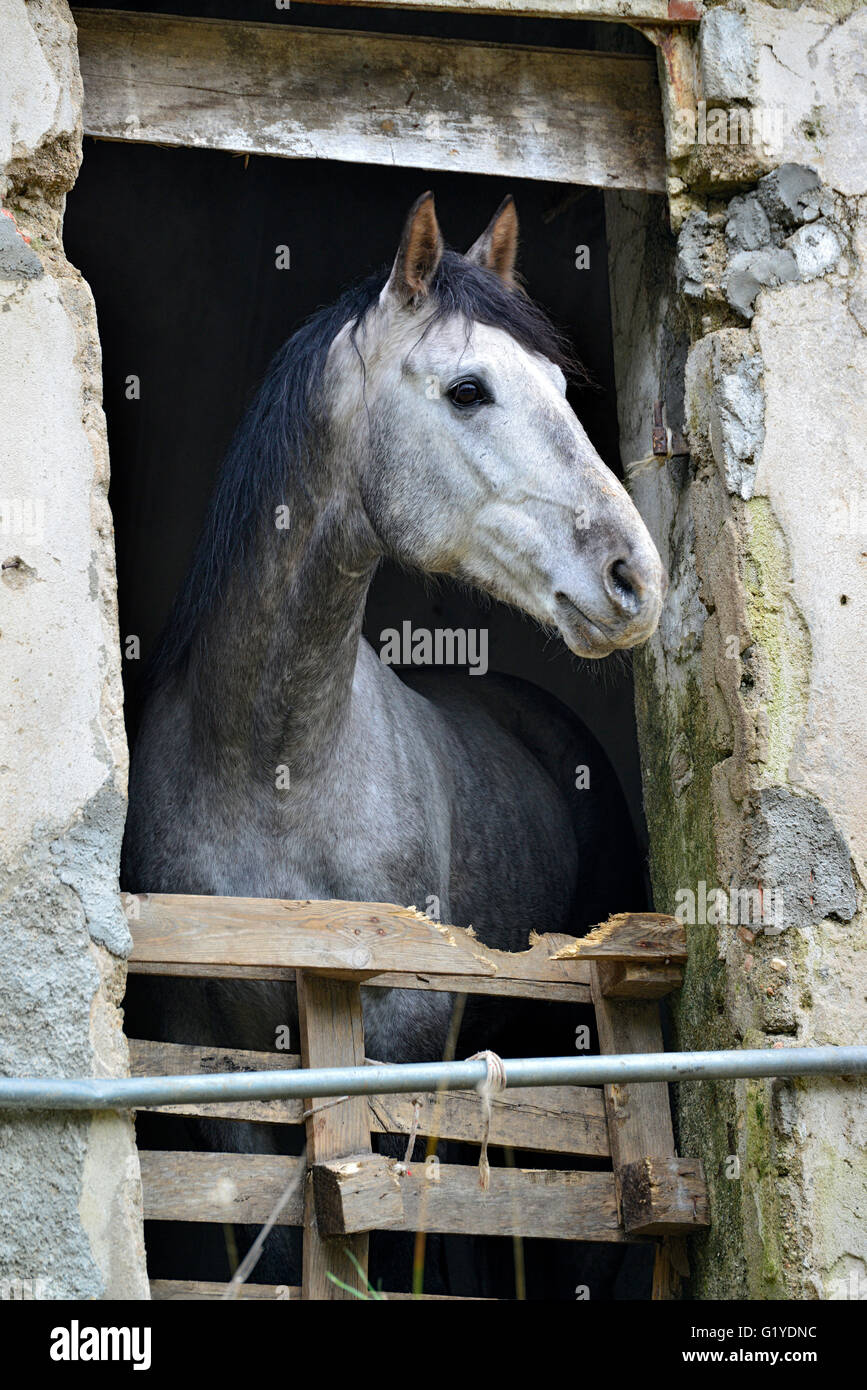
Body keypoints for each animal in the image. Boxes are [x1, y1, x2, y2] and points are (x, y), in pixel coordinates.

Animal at [121, 192, 666, 1297]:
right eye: (468, 390)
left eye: (558, 386)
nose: (636, 576)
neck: (276, 768)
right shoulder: (225, 1067)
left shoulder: (398, 1060)